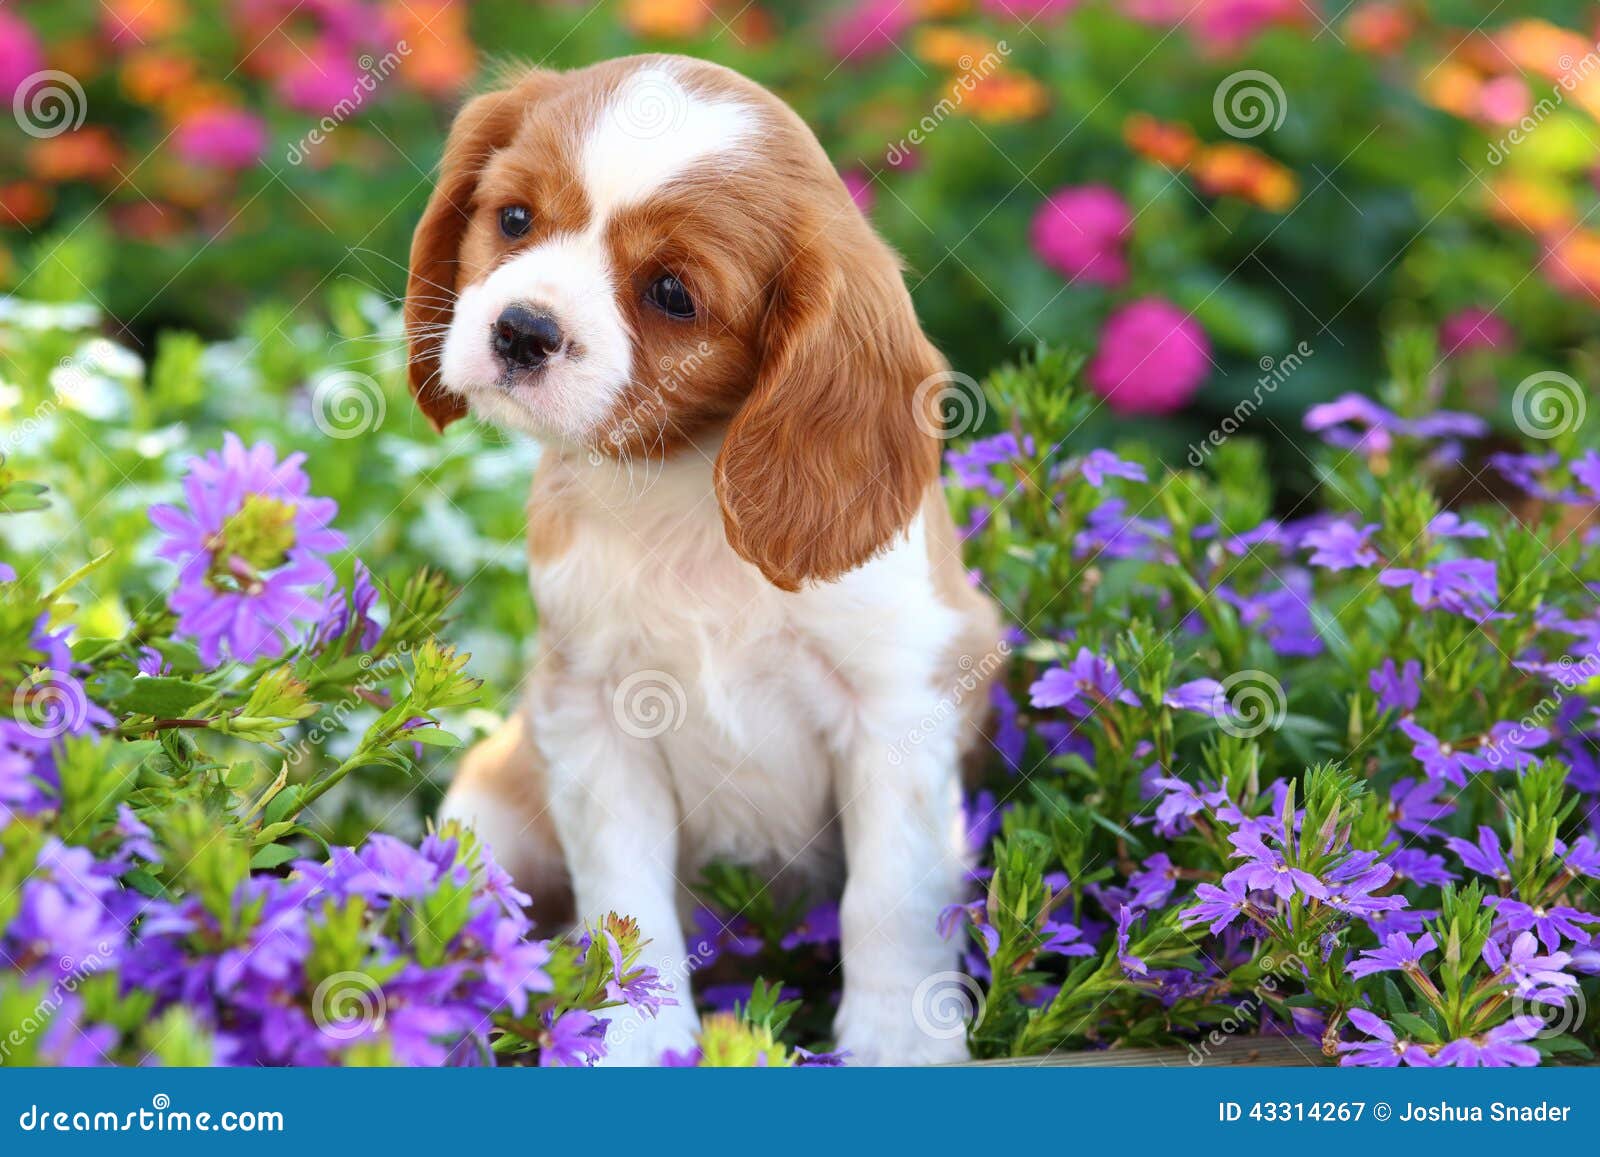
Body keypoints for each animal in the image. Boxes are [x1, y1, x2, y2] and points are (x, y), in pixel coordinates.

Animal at [406, 56, 998, 1068]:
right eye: (514, 219)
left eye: (673, 293)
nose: (521, 329)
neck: (682, 488)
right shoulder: (592, 714)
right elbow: (625, 897)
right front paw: (634, 1037)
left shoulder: (896, 710)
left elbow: (890, 896)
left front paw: (899, 1039)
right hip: (490, 800)